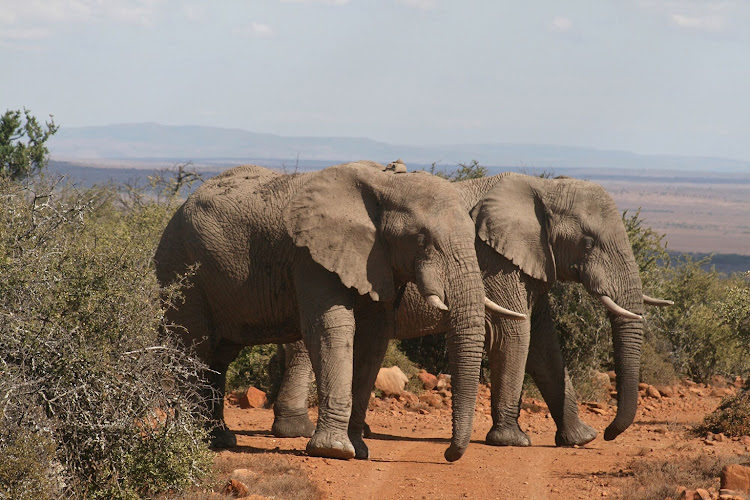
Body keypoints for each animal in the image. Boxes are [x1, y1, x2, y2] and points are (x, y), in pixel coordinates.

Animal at [156, 160, 524, 460]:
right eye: (421, 238)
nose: (448, 454)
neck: (386, 184)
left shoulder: (378, 261)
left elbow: (374, 339)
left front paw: (358, 450)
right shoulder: (310, 257)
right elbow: (332, 329)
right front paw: (334, 450)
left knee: (219, 356)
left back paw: (219, 440)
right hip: (181, 268)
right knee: (195, 347)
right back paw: (194, 442)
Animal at [272, 173, 676, 450]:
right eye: (589, 242)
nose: (609, 433)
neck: (541, 187)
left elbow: (543, 344)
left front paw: (581, 439)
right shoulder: (495, 261)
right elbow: (516, 334)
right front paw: (513, 441)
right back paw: (297, 431)